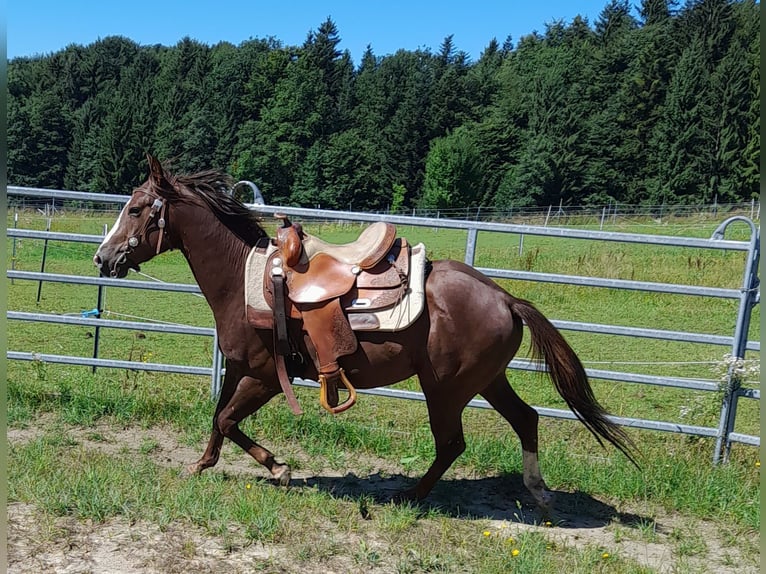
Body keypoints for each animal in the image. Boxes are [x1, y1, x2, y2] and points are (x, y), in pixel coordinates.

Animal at [93, 155, 640, 510]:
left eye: (137, 209)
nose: (102, 258)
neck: (243, 279)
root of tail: (506, 298)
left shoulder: (266, 376)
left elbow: (228, 419)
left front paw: (278, 468)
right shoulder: (239, 369)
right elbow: (218, 419)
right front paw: (204, 463)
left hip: (445, 388)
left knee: (452, 443)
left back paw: (410, 496)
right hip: (486, 381)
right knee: (526, 420)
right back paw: (538, 491)